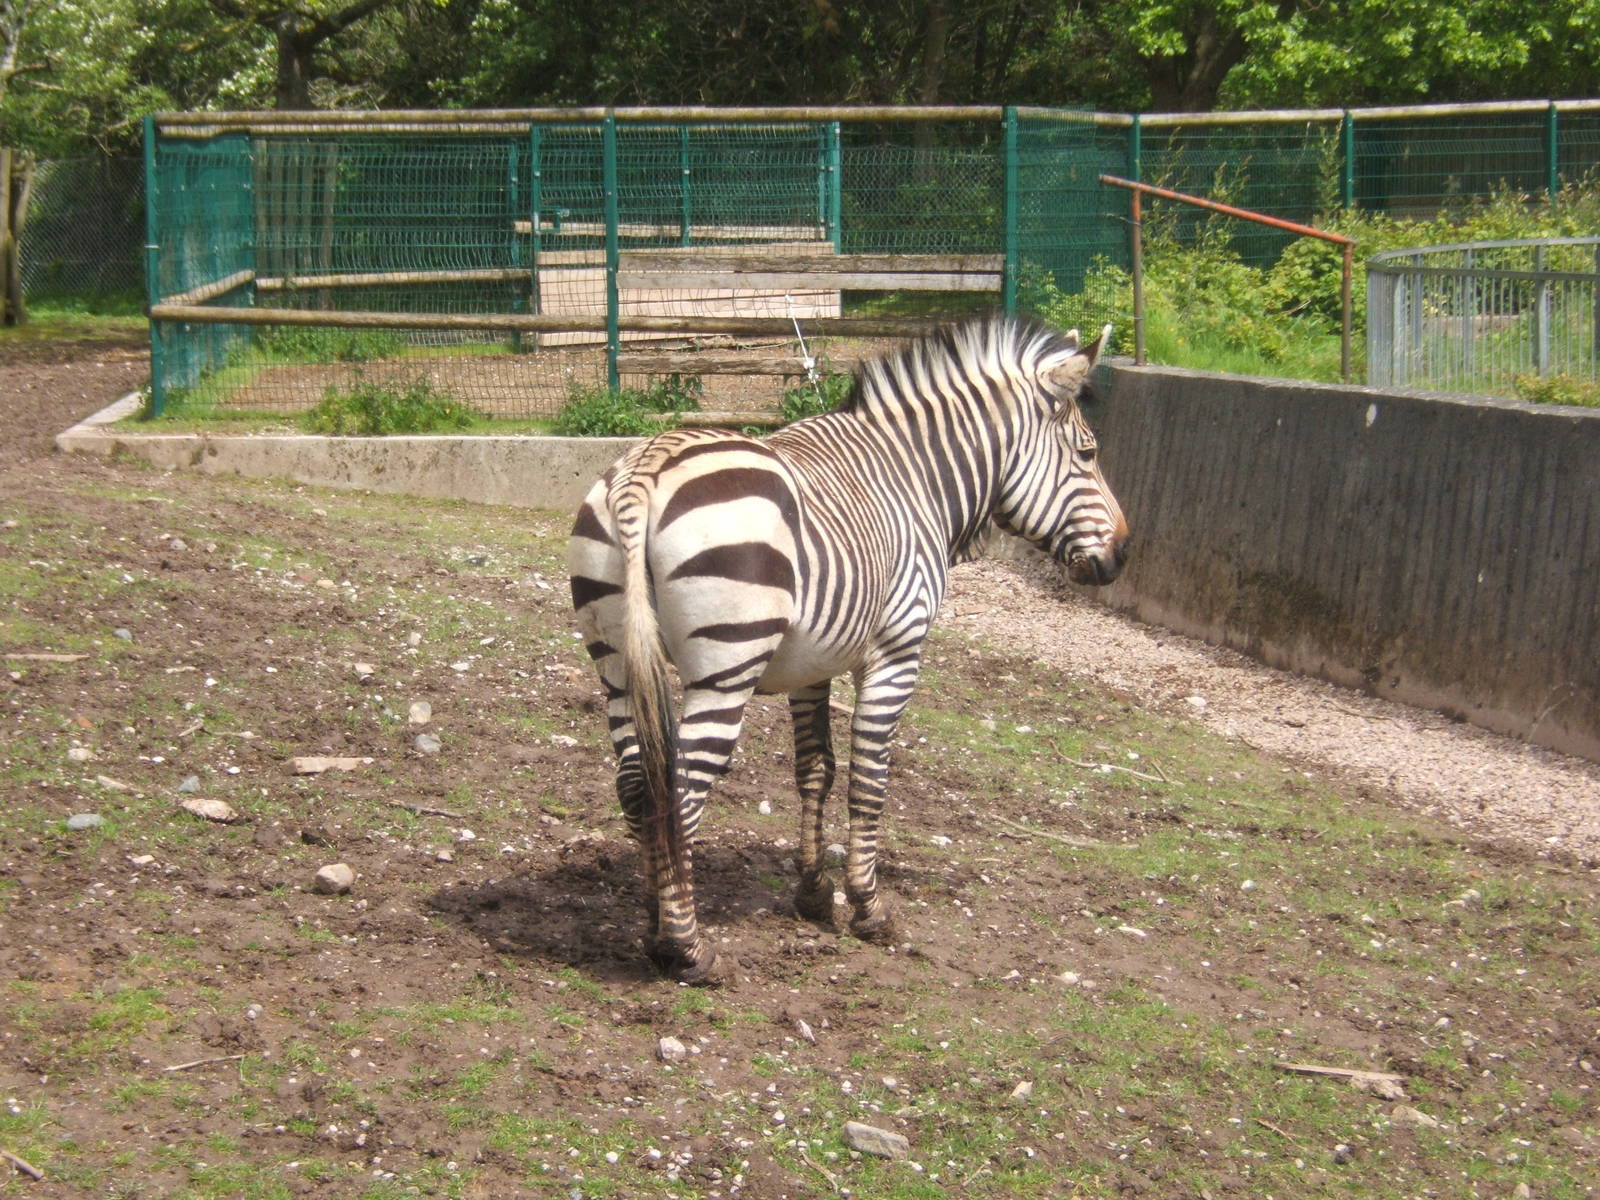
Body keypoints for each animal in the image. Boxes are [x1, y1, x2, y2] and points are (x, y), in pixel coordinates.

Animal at [568, 316, 1129, 983]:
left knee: (639, 783)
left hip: (616, 663)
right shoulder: (896, 653)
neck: (916, 479)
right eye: (1088, 453)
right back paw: (687, 949)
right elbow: (870, 775)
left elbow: (816, 769)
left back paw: (654, 920)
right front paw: (868, 908)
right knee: (679, 790)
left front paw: (813, 894)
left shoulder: (811, 663)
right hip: (725, 669)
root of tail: (645, 470)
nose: (1124, 555)